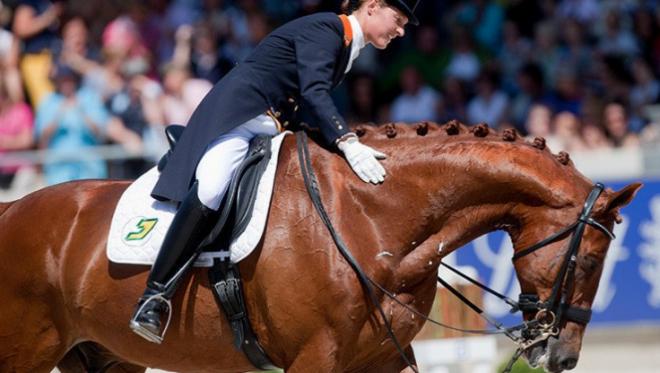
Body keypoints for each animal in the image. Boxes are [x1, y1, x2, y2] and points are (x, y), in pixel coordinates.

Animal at [0, 120, 640, 370]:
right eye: (589, 260)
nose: (562, 358)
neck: (376, 220)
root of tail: (13, 207)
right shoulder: (313, 359)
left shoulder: (384, 358)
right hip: (27, 350)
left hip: (106, 355)